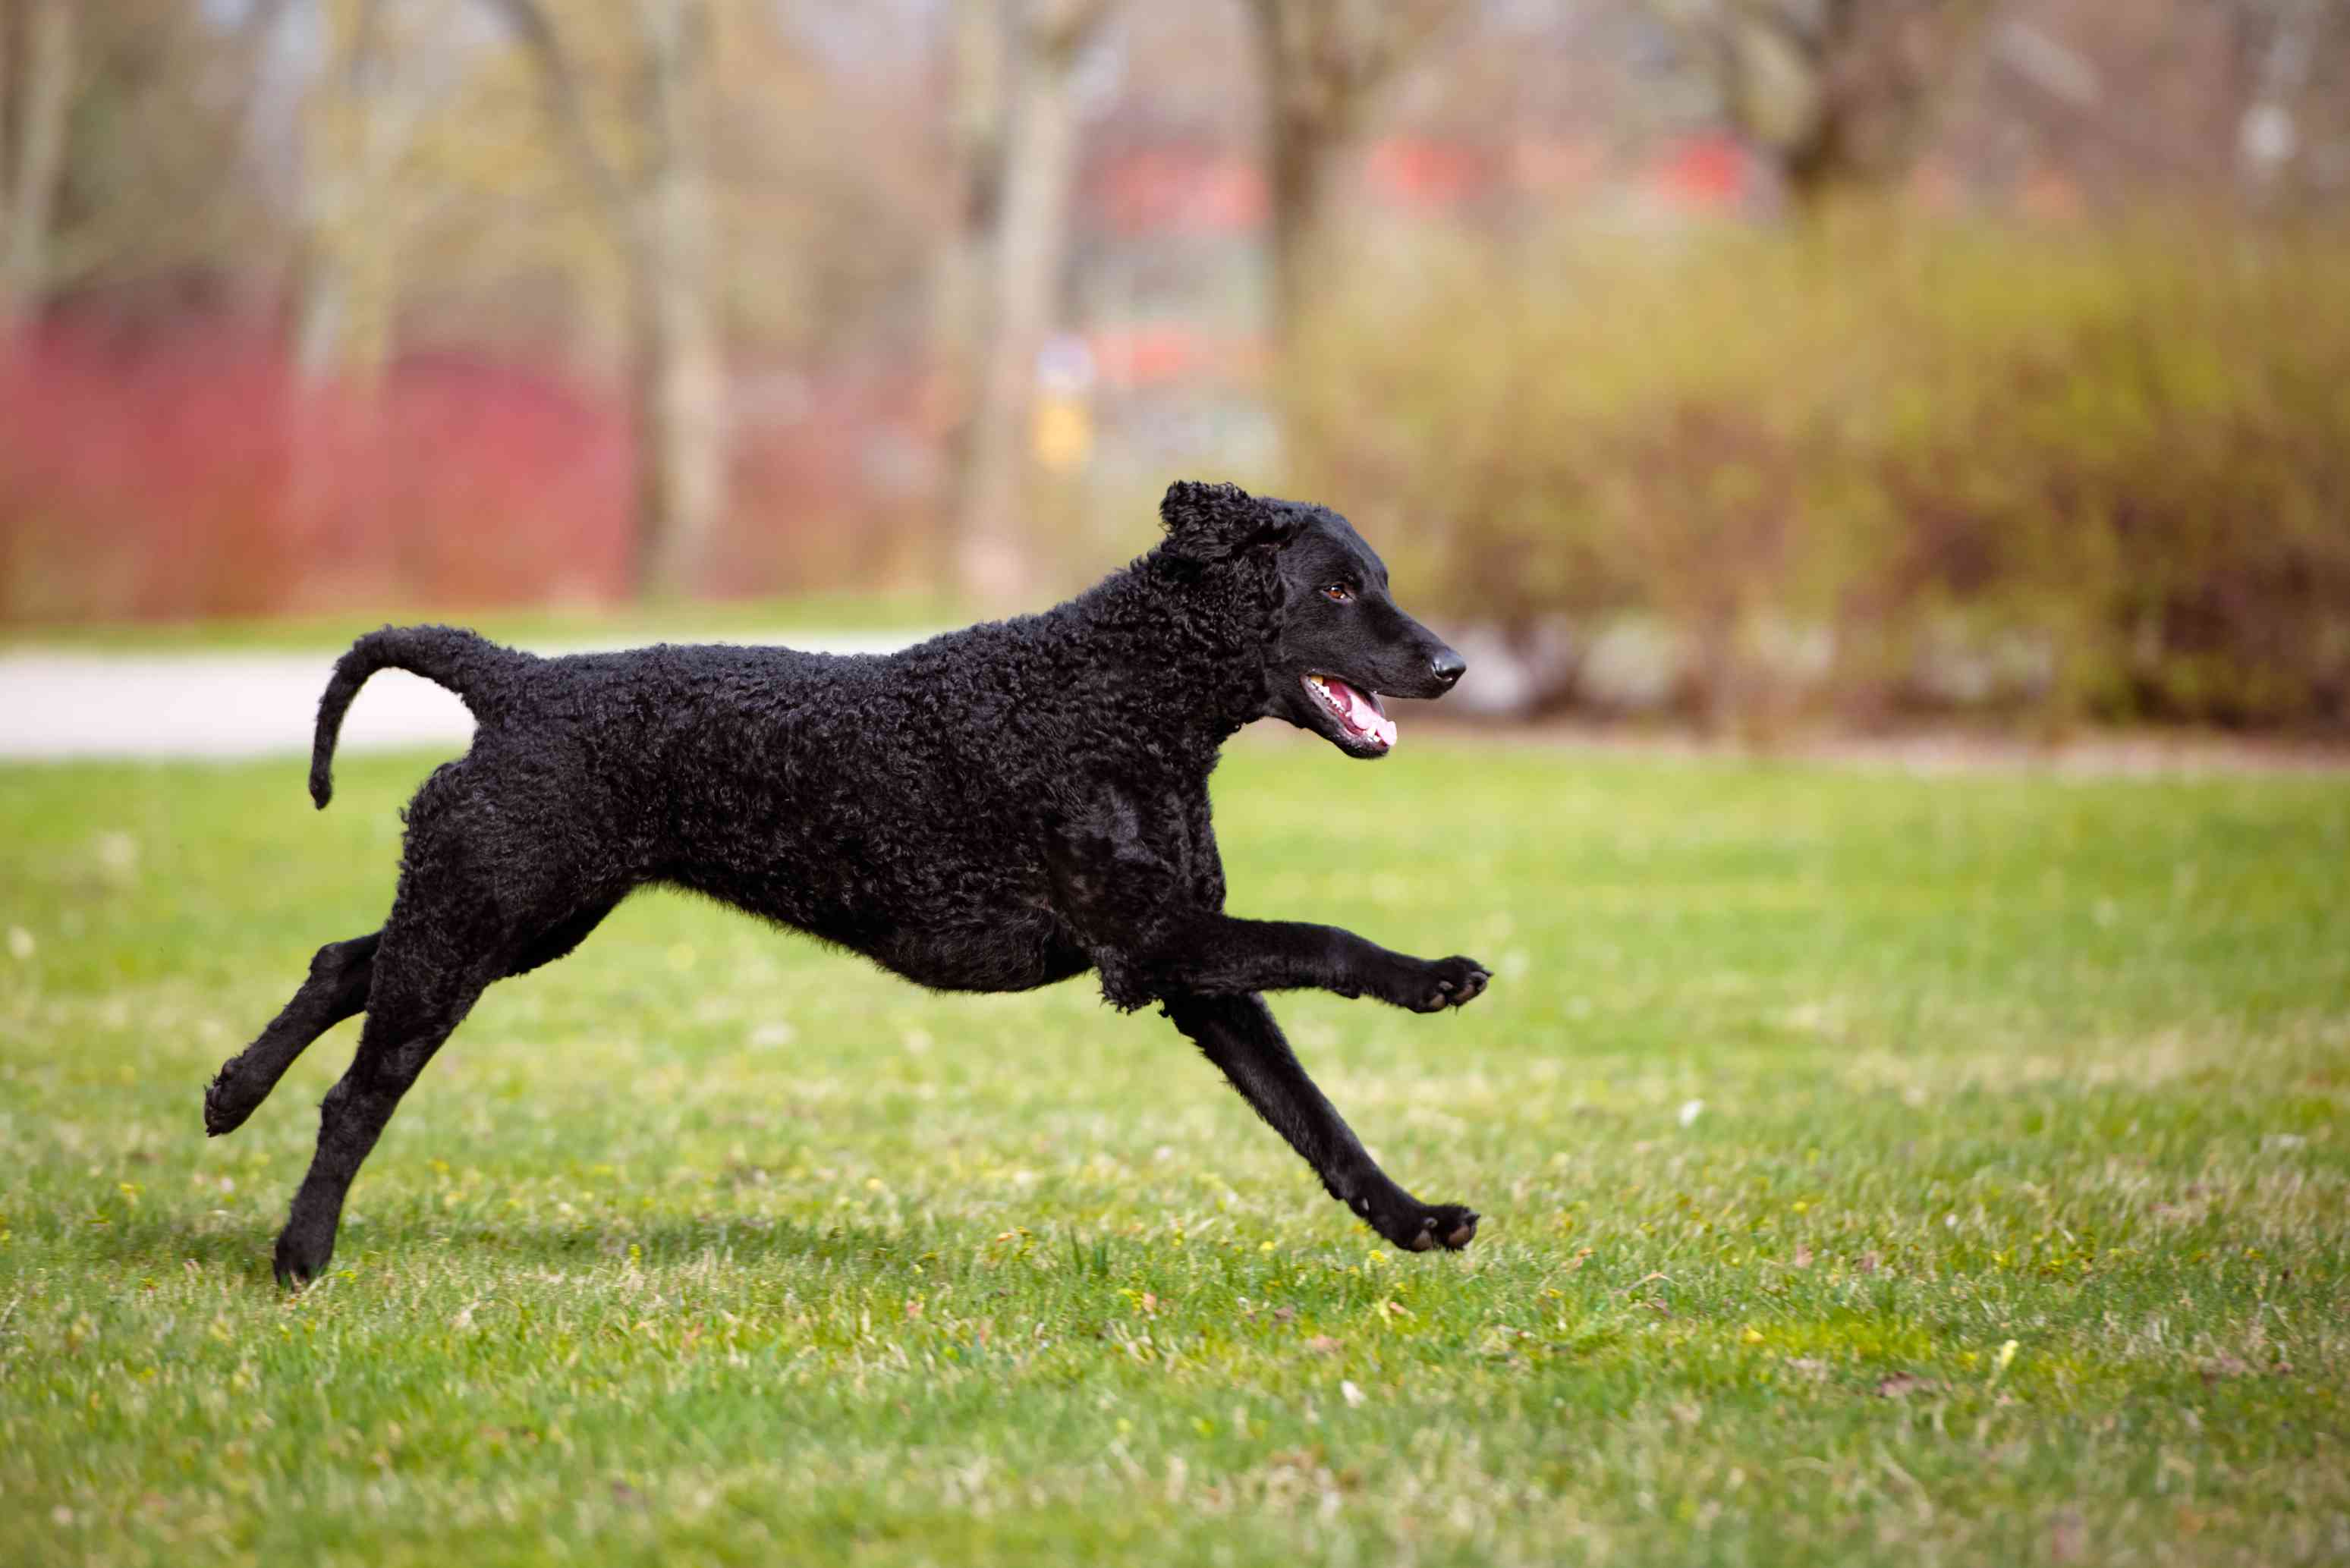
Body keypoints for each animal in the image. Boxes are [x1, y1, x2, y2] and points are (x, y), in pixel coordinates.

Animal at [206, 482, 1485, 1288]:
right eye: (1336, 591)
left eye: (1376, 580)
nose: (1452, 664)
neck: (1118, 690)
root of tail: (515, 678)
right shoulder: (1152, 942)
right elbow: (1325, 939)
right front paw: (1431, 975)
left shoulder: (1190, 963)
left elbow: (1315, 1116)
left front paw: (1414, 1218)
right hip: (485, 918)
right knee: (358, 1093)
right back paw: (301, 1255)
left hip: (513, 916)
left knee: (342, 959)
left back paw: (230, 1091)